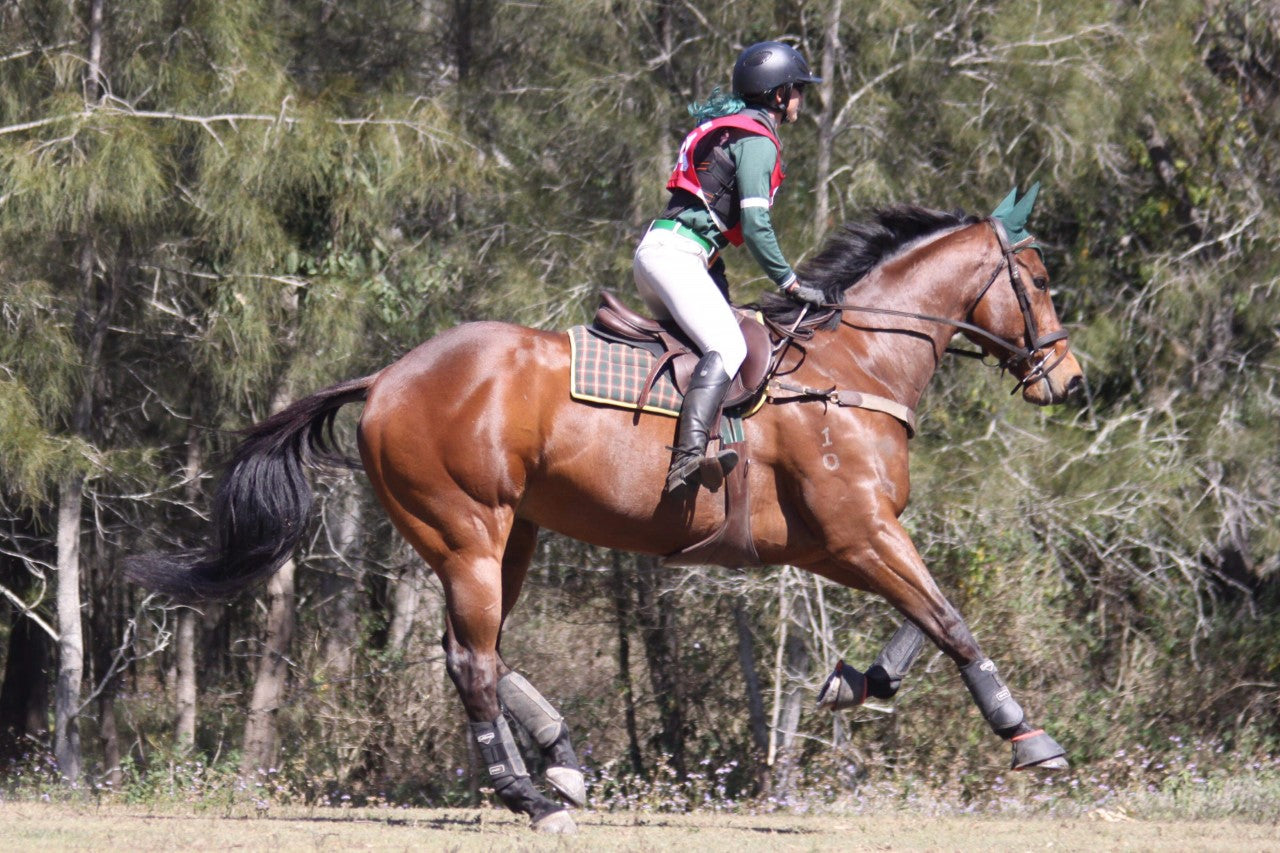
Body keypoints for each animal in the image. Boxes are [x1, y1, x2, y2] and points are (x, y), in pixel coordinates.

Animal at [127, 199, 1084, 834]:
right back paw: (531, 796)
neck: (855, 363)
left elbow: (929, 613)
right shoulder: (858, 534)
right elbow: (951, 618)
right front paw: (1028, 736)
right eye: (1037, 281)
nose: (1070, 382)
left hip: (510, 535)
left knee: (473, 651)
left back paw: (561, 760)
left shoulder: (845, 540)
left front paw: (856, 679)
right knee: (471, 660)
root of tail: (387, 376)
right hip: (469, 532)